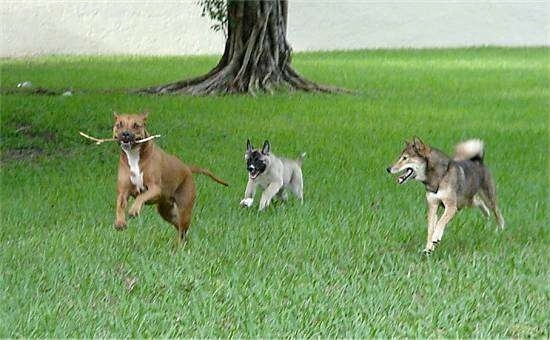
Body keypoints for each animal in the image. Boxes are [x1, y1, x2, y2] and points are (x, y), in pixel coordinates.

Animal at [112, 113, 229, 243]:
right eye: (119, 125)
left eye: (136, 125)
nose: (125, 133)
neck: (134, 156)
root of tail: (187, 168)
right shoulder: (123, 191)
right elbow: (119, 204)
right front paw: (120, 222)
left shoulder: (155, 189)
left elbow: (141, 197)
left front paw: (134, 209)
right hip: (167, 211)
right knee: (179, 228)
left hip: (184, 208)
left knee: (182, 229)